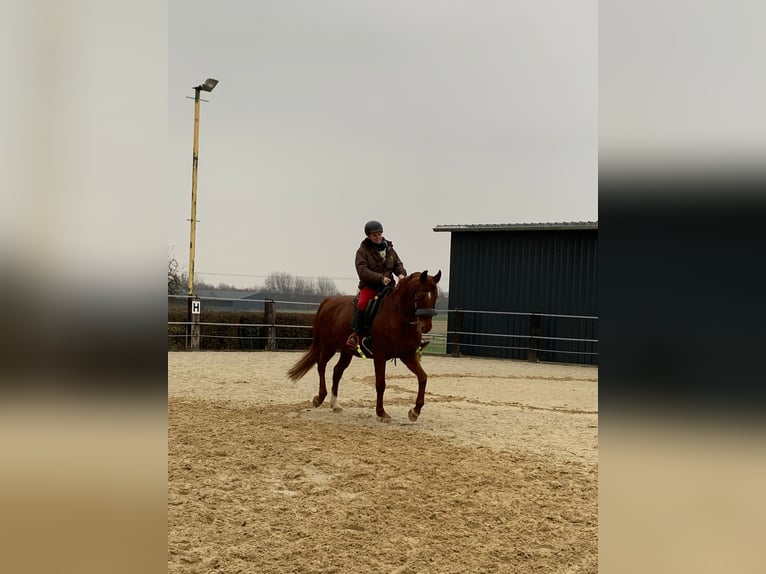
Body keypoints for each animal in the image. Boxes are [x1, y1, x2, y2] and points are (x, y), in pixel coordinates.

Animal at [286, 270, 444, 424]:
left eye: (435, 296)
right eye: (420, 295)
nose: (426, 327)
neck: (397, 316)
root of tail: (329, 301)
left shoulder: (408, 355)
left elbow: (423, 378)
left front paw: (415, 411)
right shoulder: (380, 355)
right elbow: (380, 384)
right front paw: (381, 413)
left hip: (346, 351)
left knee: (337, 371)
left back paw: (335, 404)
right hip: (328, 346)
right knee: (321, 366)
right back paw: (319, 398)